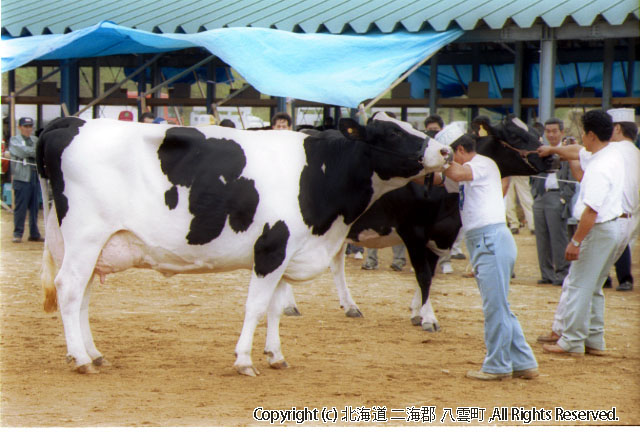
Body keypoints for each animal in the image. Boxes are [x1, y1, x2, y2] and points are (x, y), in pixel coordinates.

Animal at [35, 112, 452, 376]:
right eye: (392, 133)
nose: (445, 151)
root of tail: (68, 122)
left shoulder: (288, 252)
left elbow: (275, 307)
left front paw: (276, 355)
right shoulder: (271, 248)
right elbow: (255, 306)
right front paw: (244, 360)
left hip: (91, 246)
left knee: (81, 296)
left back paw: (93, 354)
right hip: (85, 236)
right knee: (69, 290)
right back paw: (80, 359)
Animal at [320, 113, 556, 330]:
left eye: (536, 133)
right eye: (515, 136)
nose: (551, 158)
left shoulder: (440, 233)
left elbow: (430, 274)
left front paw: (418, 312)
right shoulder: (414, 231)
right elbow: (423, 274)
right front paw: (429, 318)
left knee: (336, 263)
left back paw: (350, 306)